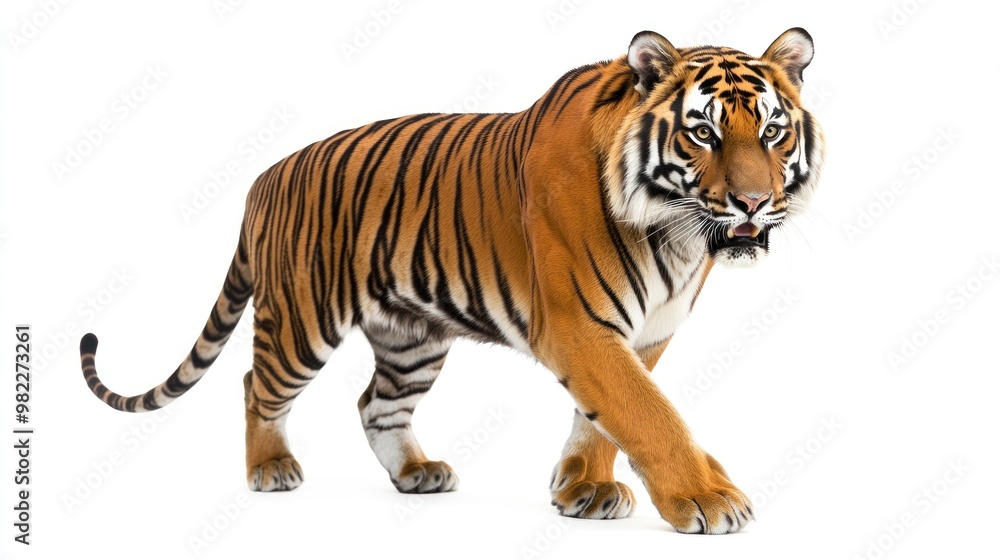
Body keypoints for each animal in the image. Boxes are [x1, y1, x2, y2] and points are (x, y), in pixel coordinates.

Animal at [79, 28, 824, 534]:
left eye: (772, 133)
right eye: (703, 134)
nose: (754, 203)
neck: (673, 233)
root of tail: (264, 178)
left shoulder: (645, 332)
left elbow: (606, 419)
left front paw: (582, 490)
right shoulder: (581, 327)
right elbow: (647, 413)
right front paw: (708, 499)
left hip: (412, 337)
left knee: (375, 405)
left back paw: (417, 473)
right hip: (301, 320)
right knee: (254, 385)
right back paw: (269, 468)